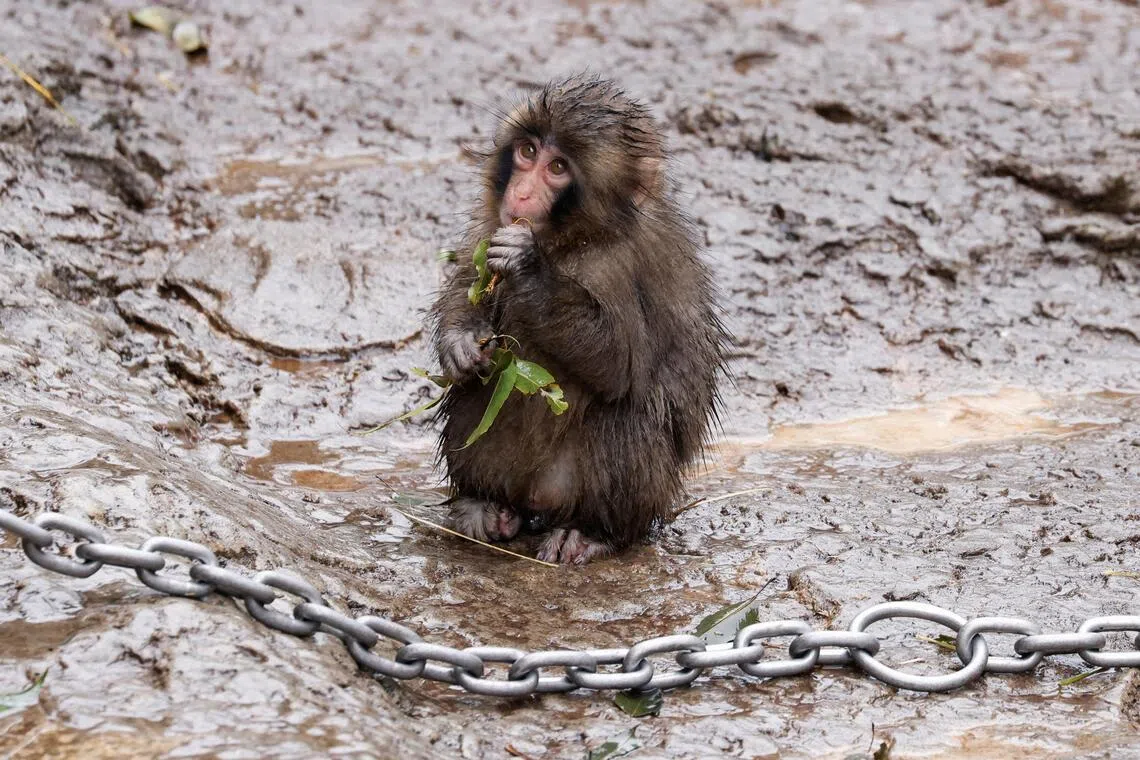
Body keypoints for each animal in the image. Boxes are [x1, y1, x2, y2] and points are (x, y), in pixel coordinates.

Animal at [430, 74, 725, 564]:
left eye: (557, 168)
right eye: (528, 151)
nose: (521, 194)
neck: (573, 240)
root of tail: (538, 501)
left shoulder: (618, 267)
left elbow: (620, 364)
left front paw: (529, 270)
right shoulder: (493, 224)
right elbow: (470, 281)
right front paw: (460, 343)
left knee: (625, 417)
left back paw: (592, 531)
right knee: (482, 387)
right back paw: (484, 504)